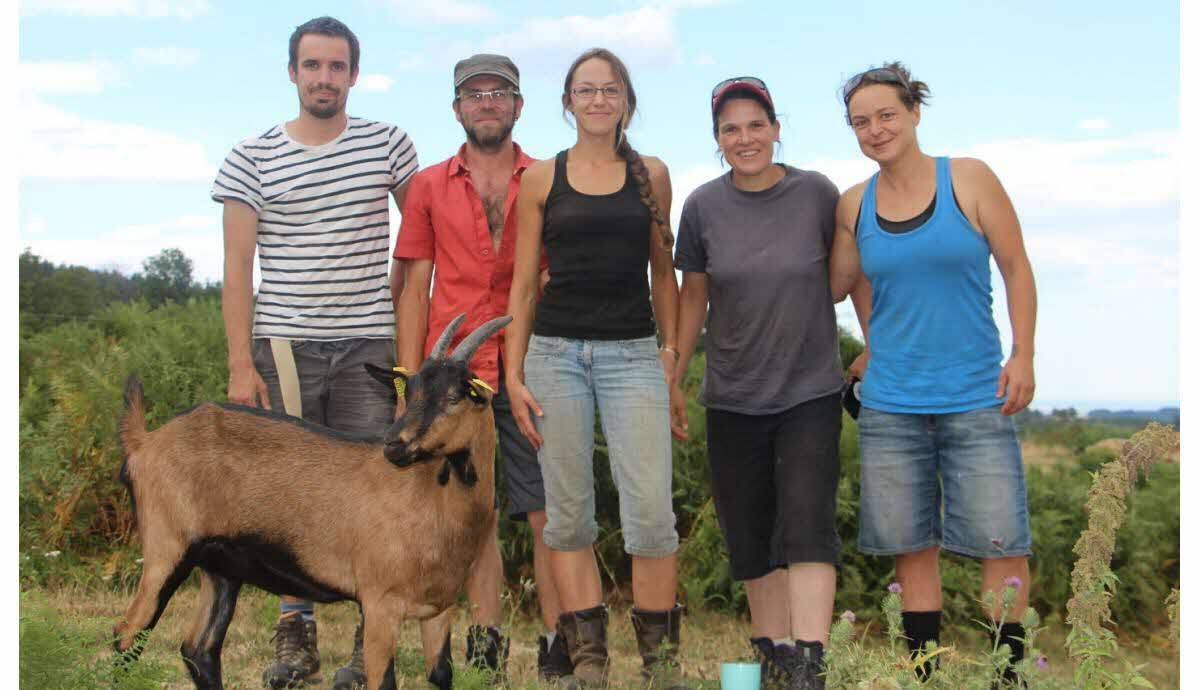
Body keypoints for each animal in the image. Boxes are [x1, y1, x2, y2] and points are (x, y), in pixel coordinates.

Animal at [110, 314, 508, 690]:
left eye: (455, 396)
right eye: (410, 392)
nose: (394, 443)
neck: (430, 499)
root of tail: (144, 441)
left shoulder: (438, 610)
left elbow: (441, 676)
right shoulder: (380, 604)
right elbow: (383, 681)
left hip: (220, 568)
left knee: (199, 649)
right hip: (167, 549)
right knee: (126, 636)